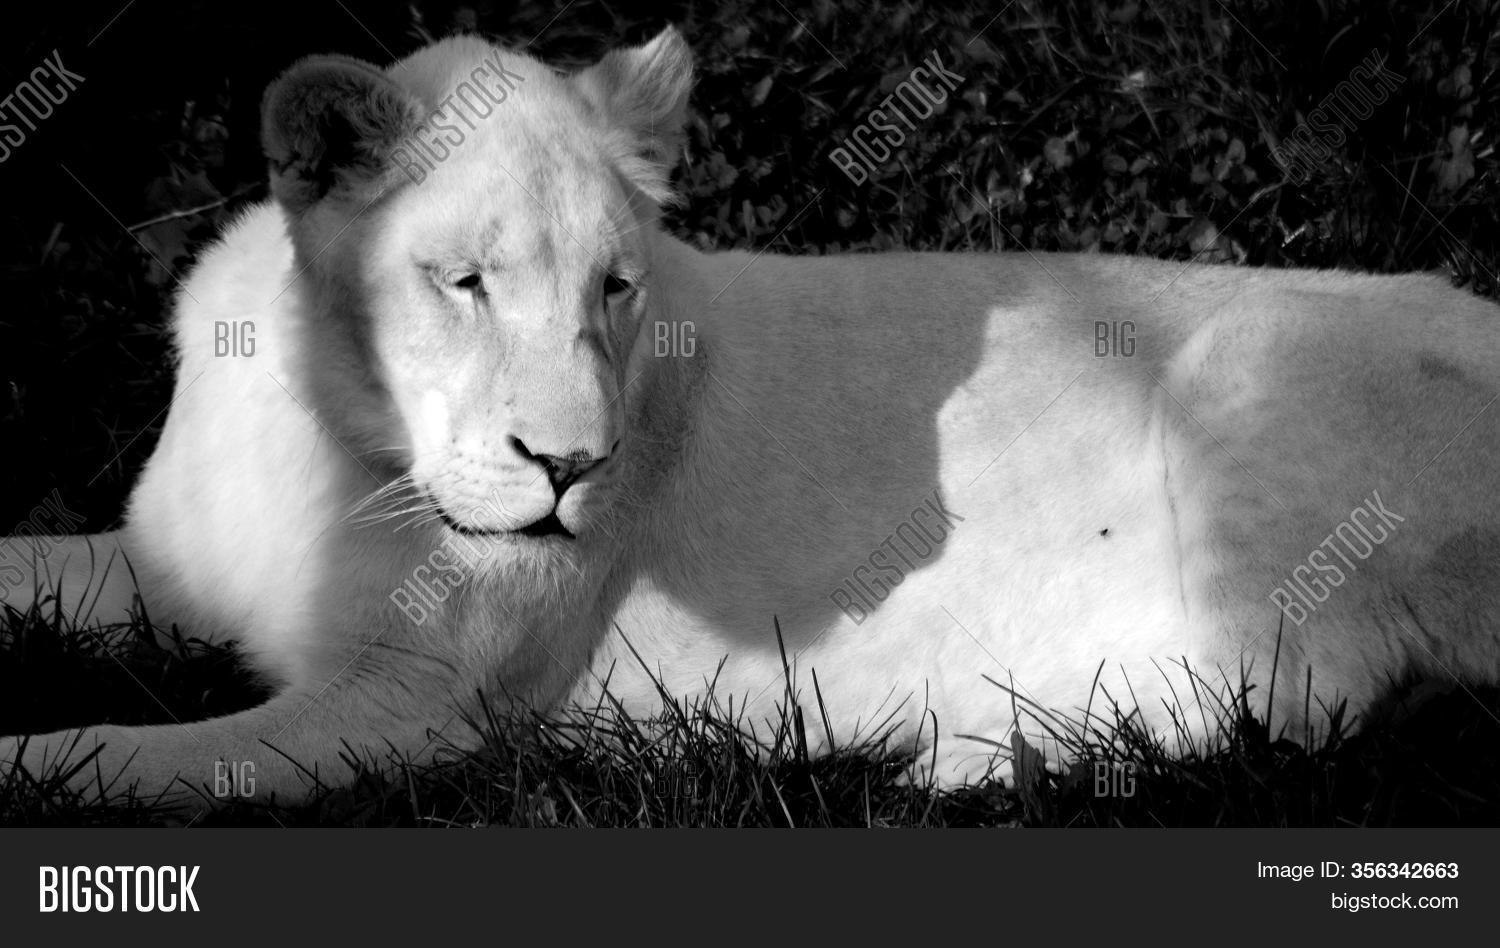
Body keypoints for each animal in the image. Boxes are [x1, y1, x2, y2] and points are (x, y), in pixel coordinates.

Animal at [3, 27, 1498, 808]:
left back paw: (934, 745)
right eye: (466, 282)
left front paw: (34, 757)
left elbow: (124, 758)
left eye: (614, 286)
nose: (573, 467)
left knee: (1284, 706)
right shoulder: (164, 570)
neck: (325, 427)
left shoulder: (411, 708)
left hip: (1254, 370)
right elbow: (31, 571)